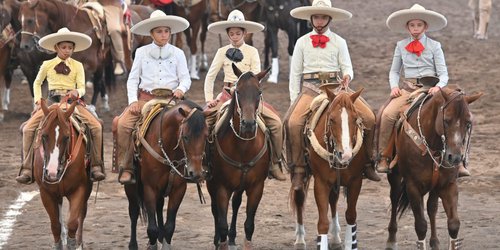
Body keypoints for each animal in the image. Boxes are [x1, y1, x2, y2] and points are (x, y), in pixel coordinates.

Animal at [33, 98, 93, 250]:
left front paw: (74, 244)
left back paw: (79, 243)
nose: (52, 172)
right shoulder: (46, 193)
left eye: (66, 137)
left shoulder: (80, 189)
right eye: (44, 135)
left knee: (82, 214)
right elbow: (55, 225)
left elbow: (73, 222)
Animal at [126, 100, 210, 250]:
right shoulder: (150, 188)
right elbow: (151, 228)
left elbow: (170, 226)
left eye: (206, 136)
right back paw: (133, 244)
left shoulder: (178, 190)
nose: (196, 173)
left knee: (159, 207)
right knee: (134, 212)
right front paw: (152, 244)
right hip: (131, 188)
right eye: (185, 137)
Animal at [206, 63, 272, 249]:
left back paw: (233, 236)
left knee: (236, 203)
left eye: (259, 92)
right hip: (211, 183)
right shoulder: (221, 187)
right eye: (238, 91)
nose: (248, 124)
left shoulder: (256, 187)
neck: (243, 147)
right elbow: (222, 222)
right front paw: (220, 241)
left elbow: (249, 224)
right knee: (215, 209)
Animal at [290, 87, 372, 249]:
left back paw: (335, 237)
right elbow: (322, 223)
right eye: (332, 119)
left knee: (333, 201)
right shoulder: (321, 183)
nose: (345, 154)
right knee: (299, 198)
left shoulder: (355, 181)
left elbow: (351, 216)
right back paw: (300, 239)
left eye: (355, 119)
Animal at [384, 87, 482, 249]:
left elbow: (453, 224)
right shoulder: (413, 187)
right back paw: (391, 240)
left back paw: (435, 242)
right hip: (395, 176)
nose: (455, 158)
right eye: (446, 120)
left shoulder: (448, 184)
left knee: (432, 208)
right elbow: (421, 226)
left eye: (468, 123)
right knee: (394, 197)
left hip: (435, 186)